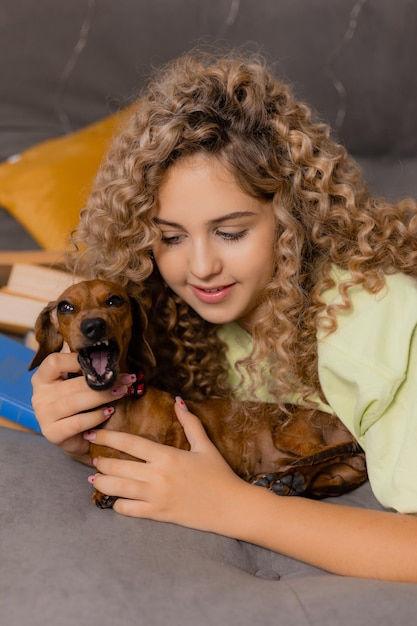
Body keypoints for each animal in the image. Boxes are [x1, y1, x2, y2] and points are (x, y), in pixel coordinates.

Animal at [29, 278, 366, 508]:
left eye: (114, 300)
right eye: (66, 307)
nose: (93, 326)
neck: (123, 410)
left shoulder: (180, 427)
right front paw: (102, 490)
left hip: (289, 435)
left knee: (317, 457)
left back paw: (286, 478)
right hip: (332, 475)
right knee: (326, 475)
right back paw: (291, 482)